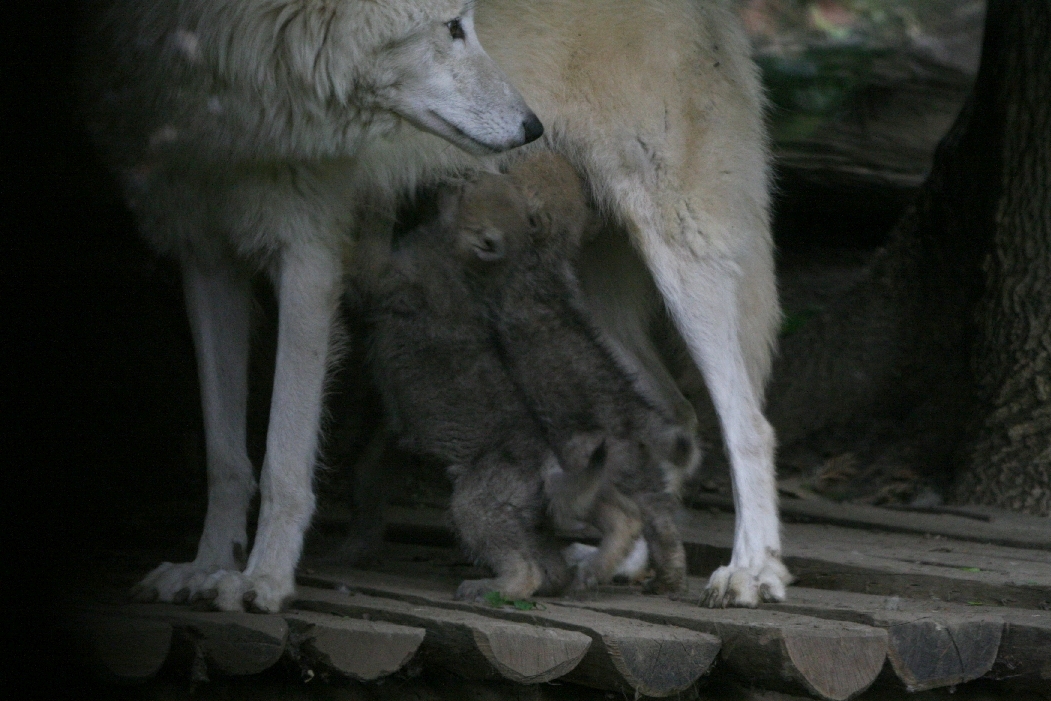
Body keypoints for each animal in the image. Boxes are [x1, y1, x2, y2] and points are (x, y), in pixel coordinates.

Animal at [82, 0, 789, 611]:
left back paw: (750, 572)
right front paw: (205, 568)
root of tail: (723, 13)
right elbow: (225, 456)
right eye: (452, 27)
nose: (530, 127)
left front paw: (263, 582)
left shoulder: (309, 253)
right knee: (666, 416)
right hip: (590, 311)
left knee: (747, 423)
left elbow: (284, 453)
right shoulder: (204, 258)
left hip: (683, 255)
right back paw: (624, 560)